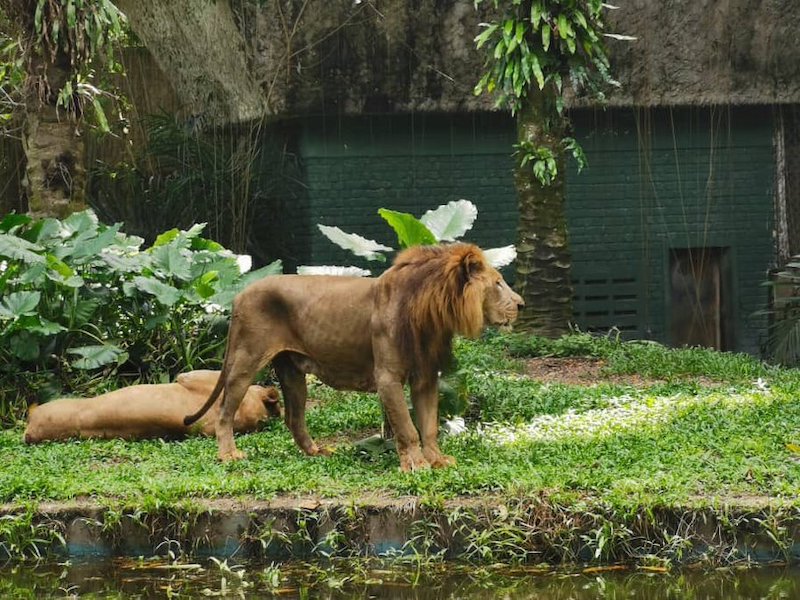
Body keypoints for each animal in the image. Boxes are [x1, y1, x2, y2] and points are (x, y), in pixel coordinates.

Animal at [184, 243, 523, 471]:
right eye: (498, 283)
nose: (521, 304)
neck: (432, 315)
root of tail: (239, 295)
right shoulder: (387, 378)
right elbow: (407, 427)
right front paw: (415, 464)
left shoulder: (426, 377)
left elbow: (428, 425)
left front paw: (437, 459)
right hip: (246, 358)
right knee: (225, 411)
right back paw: (228, 455)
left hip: (292, 370)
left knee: (294, 417)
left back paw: (316, 452)